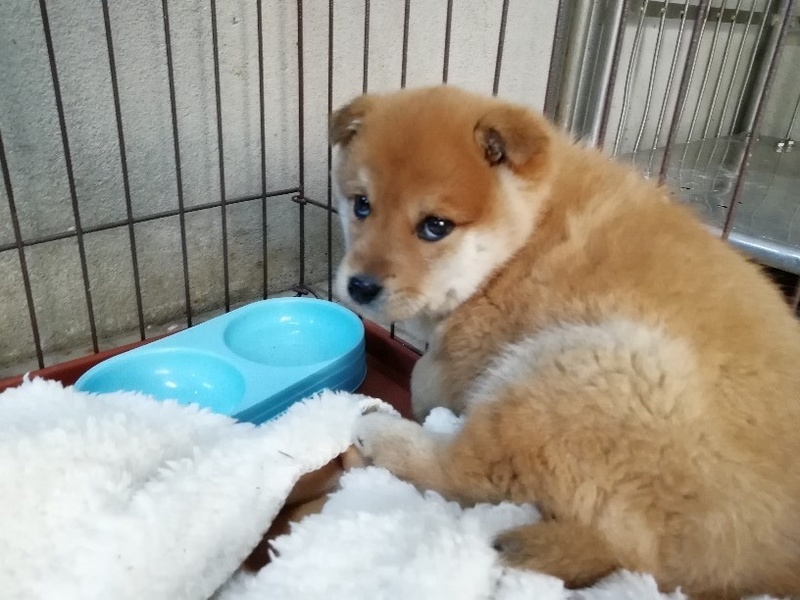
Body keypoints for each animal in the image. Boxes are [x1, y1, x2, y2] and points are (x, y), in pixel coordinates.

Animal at [329, 85, 800, 599]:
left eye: (435, 226)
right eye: (361, 205)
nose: (360, 287)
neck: (527, 237)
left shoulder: (476, 341)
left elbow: (425, 376)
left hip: (577, 372)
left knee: (468, 473)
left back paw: (387, 435)